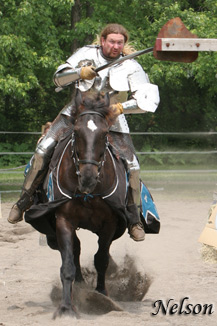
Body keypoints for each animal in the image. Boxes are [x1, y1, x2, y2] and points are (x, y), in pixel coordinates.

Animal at [53, 90, 128, 318]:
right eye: (77, 132)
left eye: (104, 134)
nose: (87, 178)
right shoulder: (64, 220)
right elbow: (67, 264)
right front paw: (66, 307)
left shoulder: (110, 223)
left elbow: (101, 259)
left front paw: (102, 295)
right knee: (75, 250)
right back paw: (79, 284)